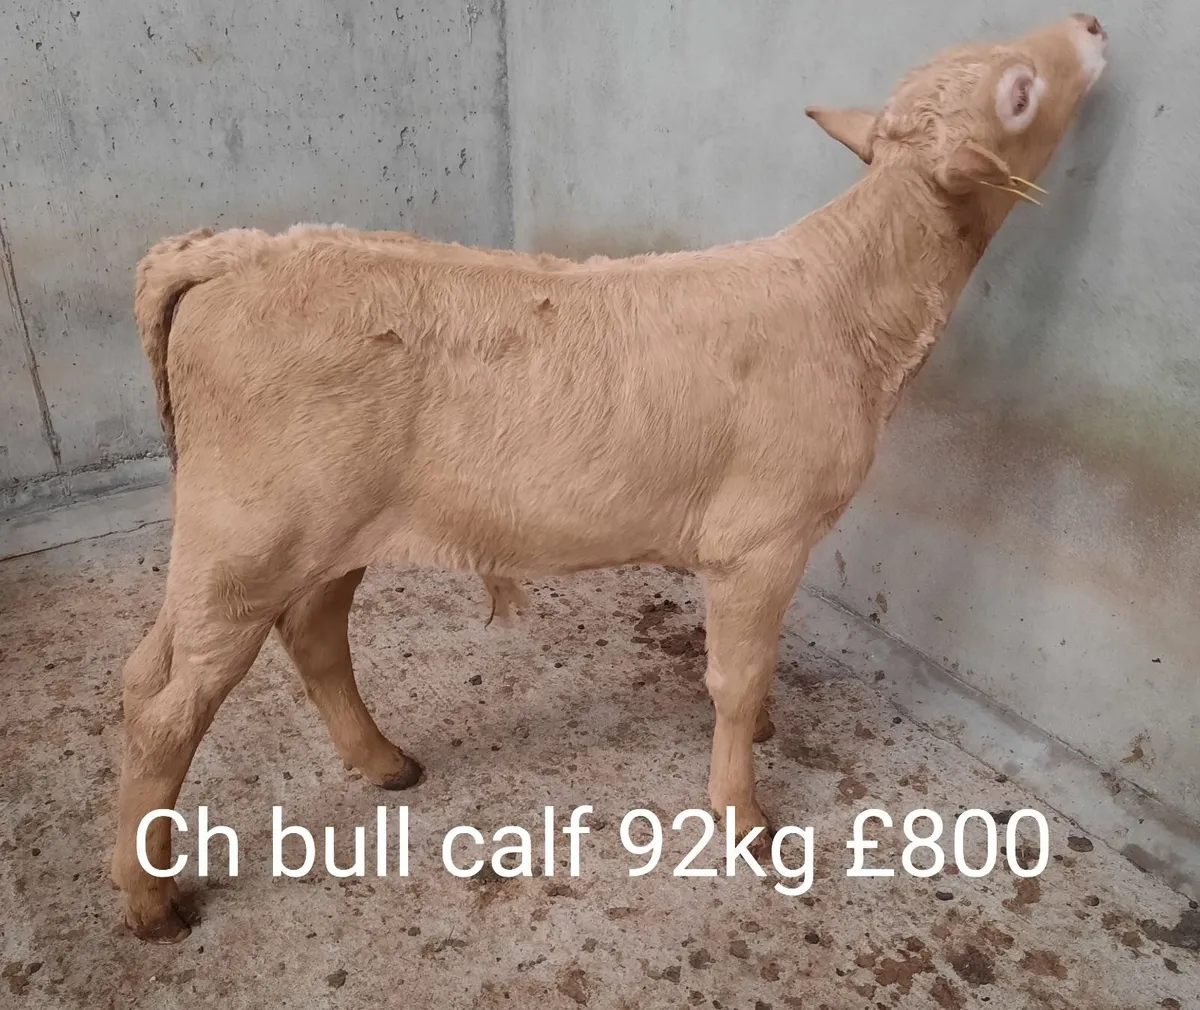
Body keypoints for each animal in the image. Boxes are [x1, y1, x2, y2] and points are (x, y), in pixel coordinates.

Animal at [111, 14, 1108, 940]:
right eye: (1020, 93)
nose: (1090, 24)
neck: (846, 304)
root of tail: (235, 249)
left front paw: (762, 736)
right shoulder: (762, 538)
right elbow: (736, 675)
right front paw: (743, 814)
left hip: (307, 530)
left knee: (274, 641)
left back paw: (384, 763)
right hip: (249, 531)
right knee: (167, 705)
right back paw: (152, 903)